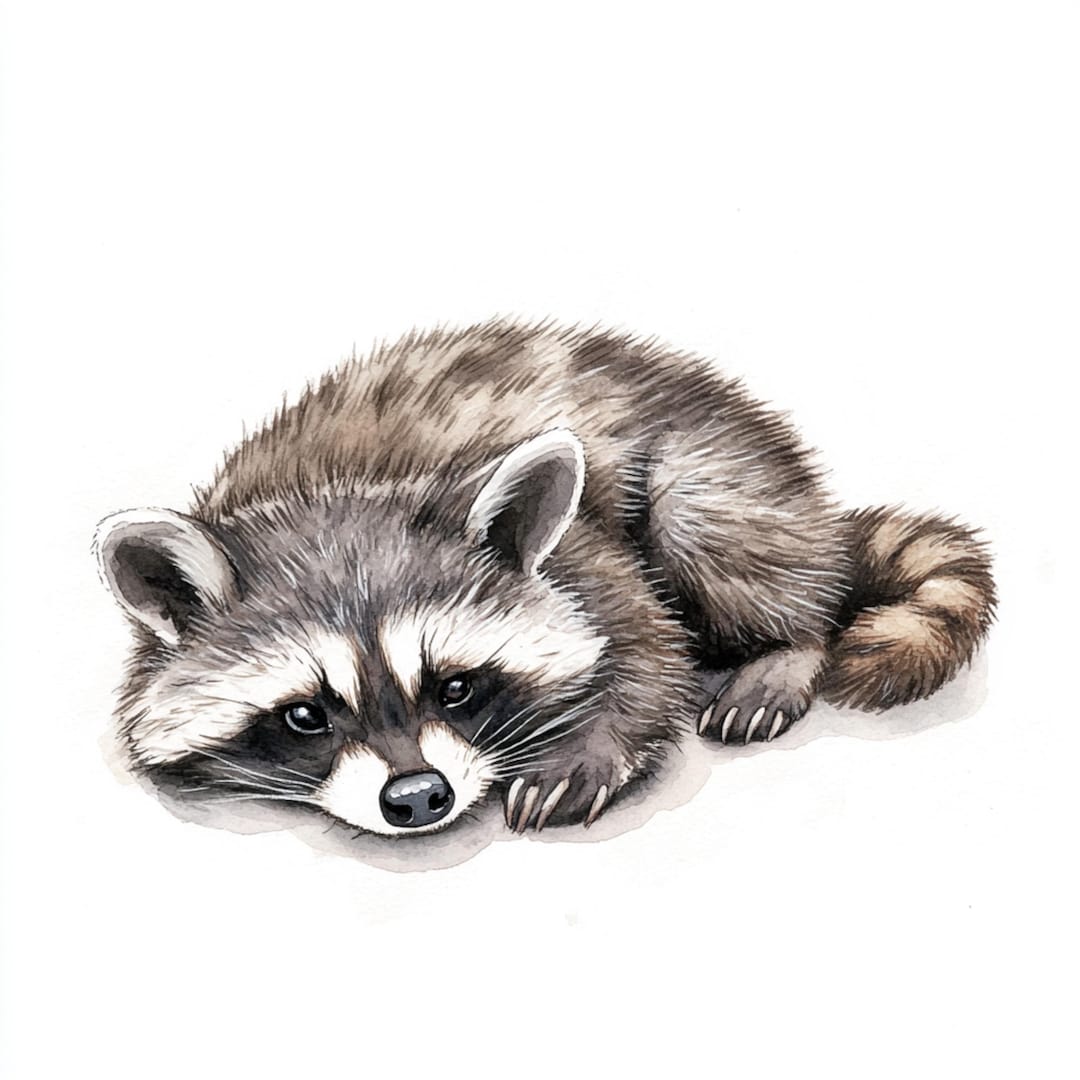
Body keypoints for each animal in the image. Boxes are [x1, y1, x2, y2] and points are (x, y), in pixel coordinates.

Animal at [95, 320, 995, 837]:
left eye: (455, 687)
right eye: (306, 715)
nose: (417, 797)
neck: (339, 494)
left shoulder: (582, 557)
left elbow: (645, 647)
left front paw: (582, 750)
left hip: (719, 470)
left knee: (724, 536)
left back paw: (785, 645)